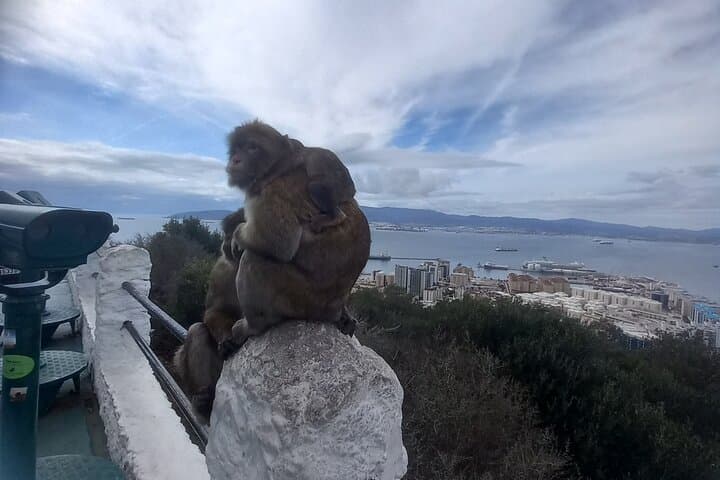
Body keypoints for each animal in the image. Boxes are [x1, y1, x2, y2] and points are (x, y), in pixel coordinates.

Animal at [224, 120, 370, 353]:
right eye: (236, 148)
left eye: (252, 148)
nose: (235, 159)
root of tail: (331, 311)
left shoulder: (269, 192)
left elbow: (278, 243)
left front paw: (236, 234)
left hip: (301, 301)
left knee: (254, 259)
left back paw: (253, 327)